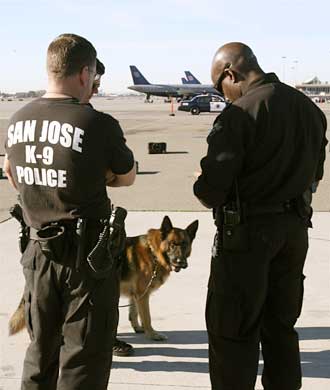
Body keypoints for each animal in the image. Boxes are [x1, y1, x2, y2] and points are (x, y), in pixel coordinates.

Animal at [8, 218, 199, 342]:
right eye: (173, 245)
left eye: (185, 244)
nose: (181, 262)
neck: (154, 252)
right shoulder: (143, 296)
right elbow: (147, 317)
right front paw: (152, 334)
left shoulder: (136, 295)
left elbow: (133, 312)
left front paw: (138, 328)